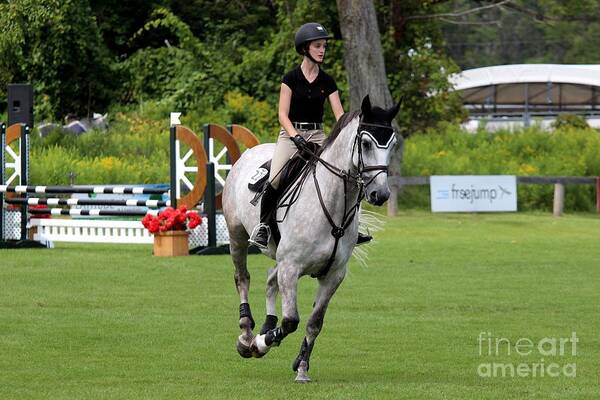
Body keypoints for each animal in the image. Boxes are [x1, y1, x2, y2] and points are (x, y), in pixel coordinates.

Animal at [223, 95, 400, 382]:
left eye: (392, 144)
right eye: (365, 143)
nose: (380, 194)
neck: (332, 203)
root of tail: (250, 152)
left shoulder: (333, 275)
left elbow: (314, 323)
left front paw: (302, 366)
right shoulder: (291, 268)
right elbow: (291, 320)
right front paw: (261, 344)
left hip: (279, 255)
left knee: (270, 280)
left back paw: (266, 327)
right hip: (236, 235)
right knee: (243, 279)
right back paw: (247, 335)